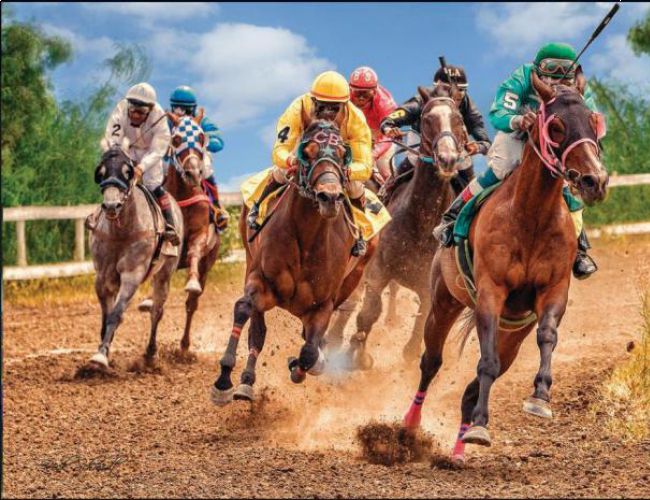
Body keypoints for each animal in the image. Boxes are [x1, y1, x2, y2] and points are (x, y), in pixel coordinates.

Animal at [86, 140, 183, 368]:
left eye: (127, 172)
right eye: (101, 172)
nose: (111, 205)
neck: (121, 232)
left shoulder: (132, 275)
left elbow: (116, 314)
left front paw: (101, 355)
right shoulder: (102, 277)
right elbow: (107, 316)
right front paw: (103, 349)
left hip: (164, 275)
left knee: (157, 312)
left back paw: (150, 353)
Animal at [210, 119, 378, 404]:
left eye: (343, 155)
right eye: (306, 153)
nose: (329, 197)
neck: (308, 238)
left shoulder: (323, 304)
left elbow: (309, 351)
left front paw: (304, 366)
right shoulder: (261, 280)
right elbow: (244, 309)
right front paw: (224, 380)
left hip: (354, 277)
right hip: (249, 258)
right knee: (257, 329)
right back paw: (246, 382)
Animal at [331, 83, 469, 370]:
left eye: (459, 119)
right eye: (427, 119)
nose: (448, 159)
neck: (421, 222)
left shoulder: (428, 284)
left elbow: (420, 326)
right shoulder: (378, 271)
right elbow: (368, 313)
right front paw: (360, 356)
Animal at [402, 72, 609, 465]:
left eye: (594, 121)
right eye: (556, 126)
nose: (595, 180)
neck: (531, 216)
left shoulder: (553, 291)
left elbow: (547, 336)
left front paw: (540, 397)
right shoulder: (490, 293)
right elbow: (486, 363)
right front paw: (482, 427)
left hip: (513, 331)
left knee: (472, 387)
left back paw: (459, 449)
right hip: (443, 302)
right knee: (431, 362)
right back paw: (408, 426)